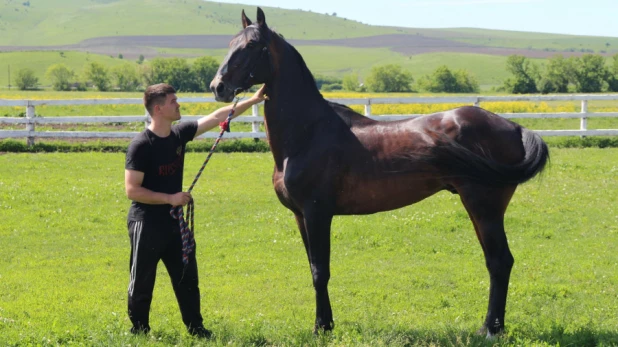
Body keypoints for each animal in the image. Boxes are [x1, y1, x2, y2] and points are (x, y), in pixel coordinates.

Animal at [209, 8, 548, 338]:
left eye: (252, 45)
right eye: (230, 43)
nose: (217, 87)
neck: (308, 133)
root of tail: (515, 127)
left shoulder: (317, 213)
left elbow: (321, 271)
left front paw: (321, 328)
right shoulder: (300, 215)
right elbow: (313, 268)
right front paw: (326, 323)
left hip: (484, 207)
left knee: (500, 261)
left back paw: (491, 329)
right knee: (496, 262)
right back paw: (489, 327)